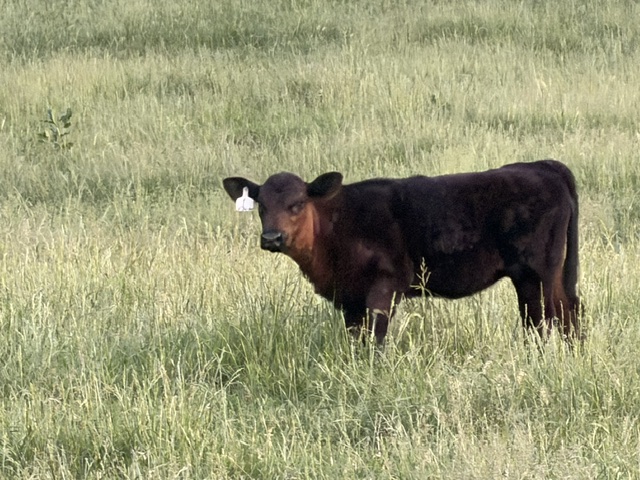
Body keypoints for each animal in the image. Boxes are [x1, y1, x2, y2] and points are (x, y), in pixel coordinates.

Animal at [223, 160, 581, 344]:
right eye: (261, 205)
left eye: (297, 203)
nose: (272, 237)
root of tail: (543, 166)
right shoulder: (350, 298)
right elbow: (357, 340)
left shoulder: (386, 285)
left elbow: (376, 338)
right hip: (537, 276)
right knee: (559, 314)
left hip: (540, 271)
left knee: (551, 317)